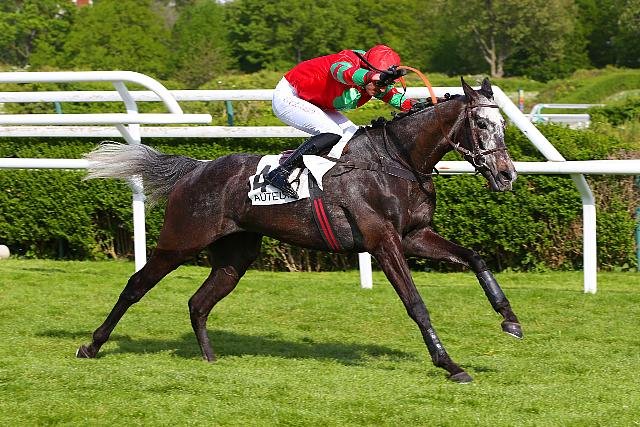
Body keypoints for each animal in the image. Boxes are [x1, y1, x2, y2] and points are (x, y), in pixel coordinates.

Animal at [77, 77, 521, 383]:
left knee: (199, 302)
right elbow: (415, 303)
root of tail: (195, 169)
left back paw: (209, 359)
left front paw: (509, 319)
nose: (506, 175)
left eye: (502, 124)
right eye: (482, 124)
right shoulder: (384, 242)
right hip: (180, 241)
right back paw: (92, 345)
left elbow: (475, 258)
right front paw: (449, 364)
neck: (398, 161)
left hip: (235, 256)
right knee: (136, 285)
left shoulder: (414, 236)